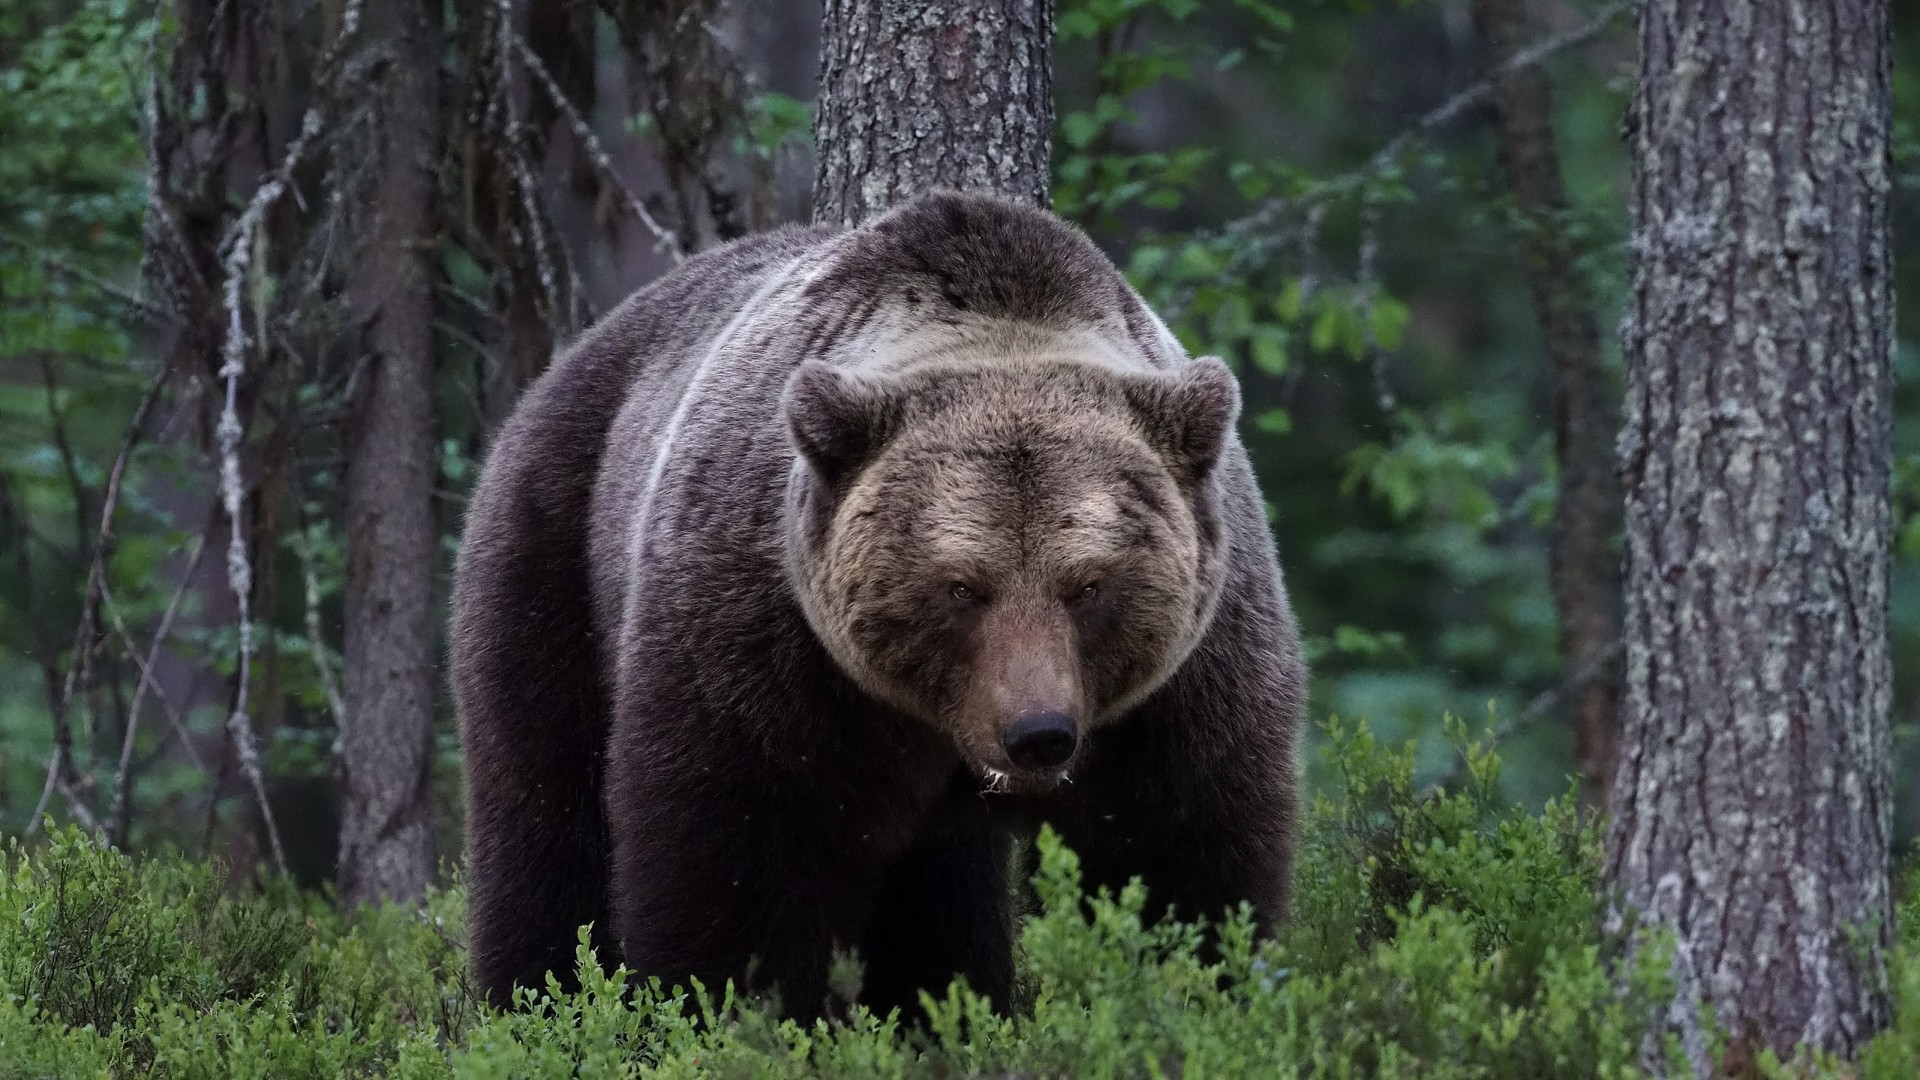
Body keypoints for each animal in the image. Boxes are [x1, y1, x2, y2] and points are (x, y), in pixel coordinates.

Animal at [453, 191, 1305, 1014]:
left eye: (1089, 585)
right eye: (961, 586)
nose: (1038, 735)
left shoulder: (1184, 679)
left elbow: (1184, 854)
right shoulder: (768, 645)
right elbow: (734, 857)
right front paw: (724, 1010)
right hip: (553, 547)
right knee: (545, 812)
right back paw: (535, 998)